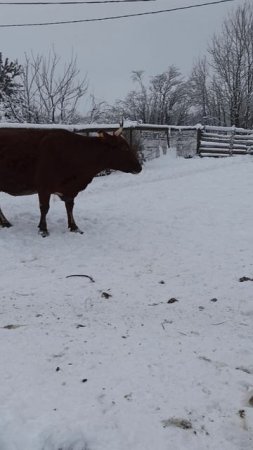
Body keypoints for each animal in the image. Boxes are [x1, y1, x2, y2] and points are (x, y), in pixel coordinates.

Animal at [0, 126, 142, 236]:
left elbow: (70, 206)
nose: (139, 167)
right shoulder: (43, 187)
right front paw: (43, 229)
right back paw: (5, 222)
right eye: (124, 148)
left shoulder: (69, 189)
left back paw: (5, 223)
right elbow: (44, 208)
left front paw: (74, 227)